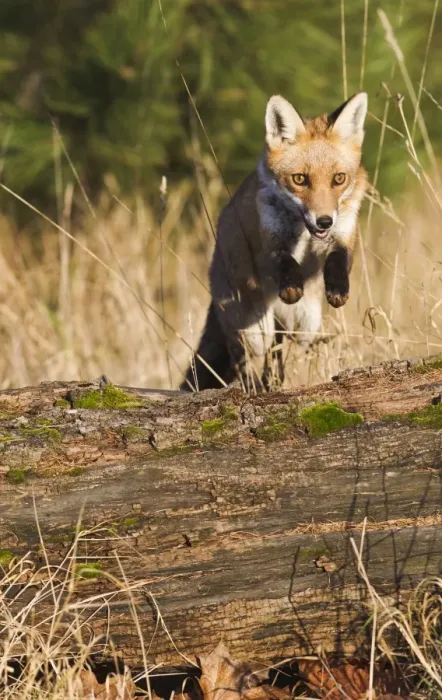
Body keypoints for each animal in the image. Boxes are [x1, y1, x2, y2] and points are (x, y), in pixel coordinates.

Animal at [181, 91, 368, 392]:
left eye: (339, 179)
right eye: (300, 179)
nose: (324, 221)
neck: (304, 232)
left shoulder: (345, 233)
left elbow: (339, 259)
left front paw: (337, 289)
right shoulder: (269, 240)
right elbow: (283, 260)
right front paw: (291, 285)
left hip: (303, 325)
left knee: (276, 357)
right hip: (254, 329)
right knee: (241, 358)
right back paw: (252, 386)